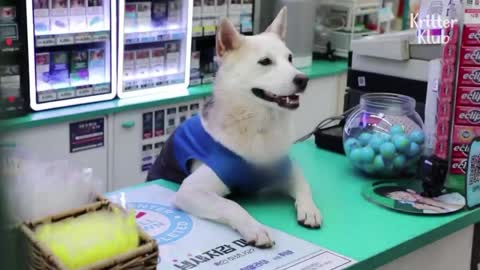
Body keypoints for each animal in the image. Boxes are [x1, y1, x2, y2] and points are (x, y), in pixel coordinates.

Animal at [148, 7, 322, 249]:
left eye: (290, 58)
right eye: (265, 62)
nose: (303, 79)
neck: (258, 126)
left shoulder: (288, 167)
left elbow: (303, 185)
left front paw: (309, 209)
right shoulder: (191, 190)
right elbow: (231, 205)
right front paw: (255, 228)